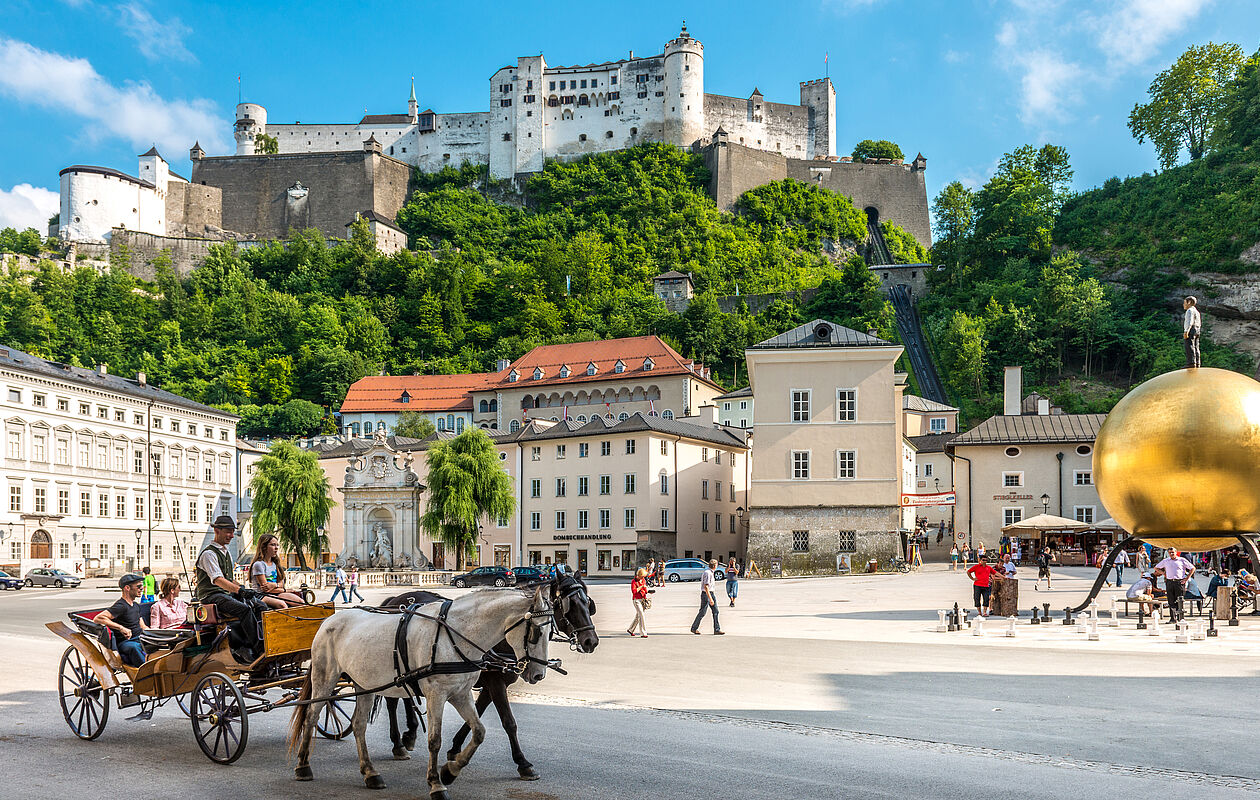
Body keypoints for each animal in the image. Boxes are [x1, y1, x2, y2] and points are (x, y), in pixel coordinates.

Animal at [294, 584, 556, 796]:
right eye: (536, 633)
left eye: (550, 632)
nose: (538, 674)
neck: (457, 635)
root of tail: (329, 621)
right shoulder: (437, 695)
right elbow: (434, 740)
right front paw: (436, 783)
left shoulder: (461, 694)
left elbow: (479, 732)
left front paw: (450, 770)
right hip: (325, 678)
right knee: (312, 716)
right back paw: (303, 766)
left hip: (364, 684)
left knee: (359, 726)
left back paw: (370, 772)